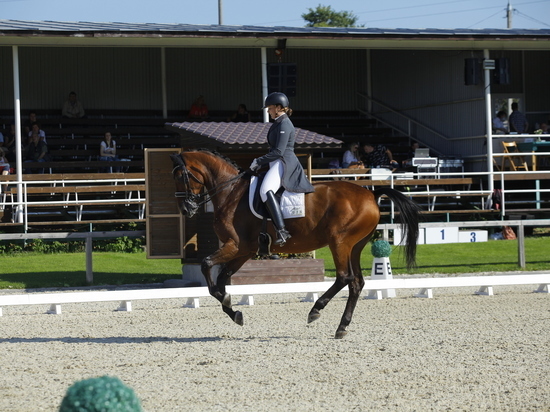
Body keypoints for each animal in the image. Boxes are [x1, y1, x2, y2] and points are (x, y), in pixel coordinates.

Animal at [170, 150, 420, 340]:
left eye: (181, 175)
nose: (186, 209)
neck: (230, 193)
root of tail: (371, 194)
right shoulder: (244, 251)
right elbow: (222, 278)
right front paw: (233, 311)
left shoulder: (236, 246)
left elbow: (206, 265)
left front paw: (228, 303)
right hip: (355, 246)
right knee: (356, 283)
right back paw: (342, 327)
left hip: (339, 242)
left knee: (344, 277)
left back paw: (316, 310)